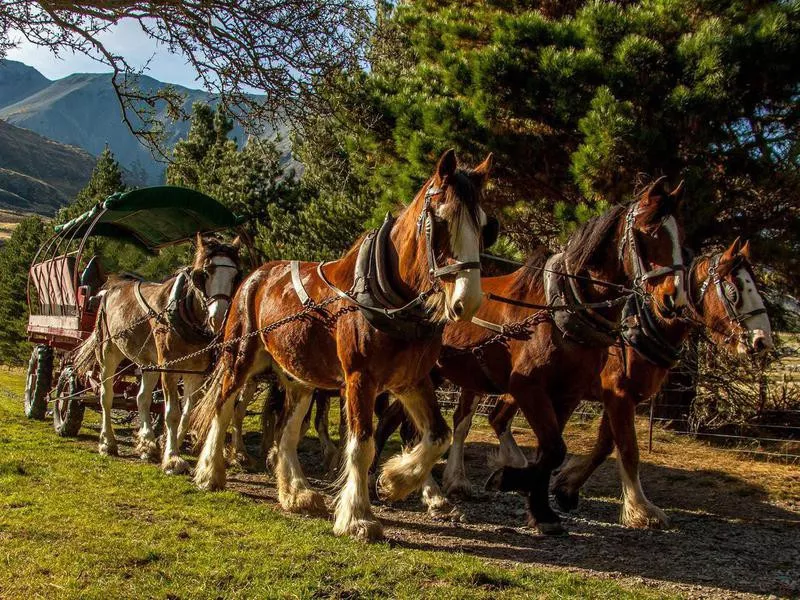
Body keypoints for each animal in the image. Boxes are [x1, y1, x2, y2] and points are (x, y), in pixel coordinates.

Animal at [193, 149, 494, 540]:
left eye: (483, 225)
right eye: (441, 221)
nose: (467, 301)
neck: (388, 297)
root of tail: (255, 276)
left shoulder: (411, 381)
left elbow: (437, 437)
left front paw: (394, 481)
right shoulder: (359, 379)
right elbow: (362, 444)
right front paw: (358, 516)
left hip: (300, 379)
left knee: (287, 431)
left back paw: (297, 494)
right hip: (240, 358)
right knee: (224, 406)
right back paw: (211, 473)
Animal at [378, 179, 684, 536]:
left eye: (681, 237)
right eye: (649, 230)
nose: (674, 299)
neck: (560, 308)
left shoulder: (567, 394)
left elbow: (550, 452)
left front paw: (540, 508)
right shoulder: (529, 388)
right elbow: (558, 450)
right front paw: (510, 479)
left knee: (400, 424)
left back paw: (420, 491)